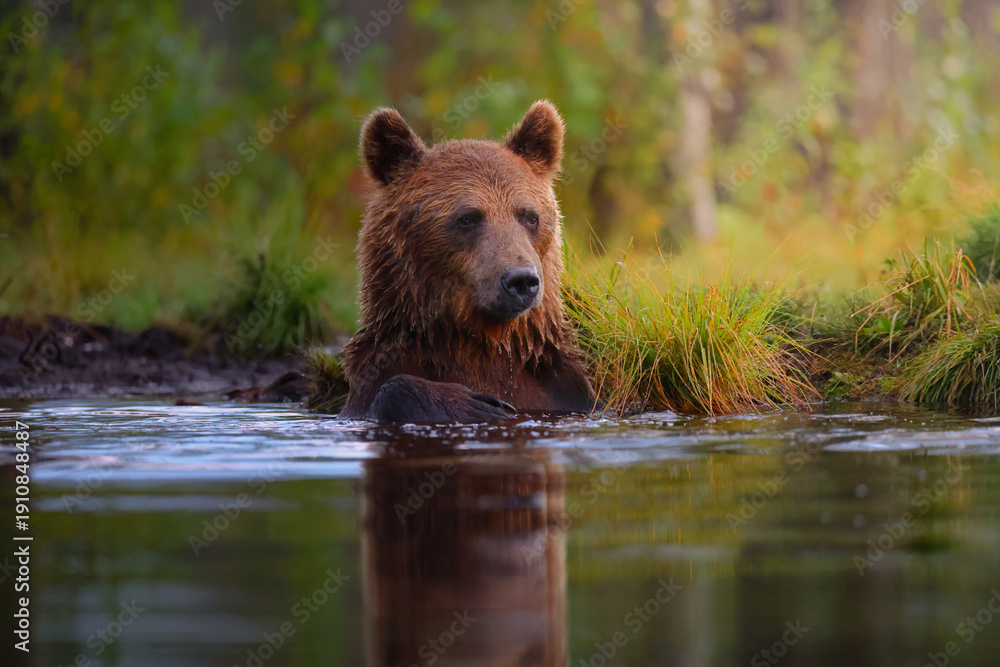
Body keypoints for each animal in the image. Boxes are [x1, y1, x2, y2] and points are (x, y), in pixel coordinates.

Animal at [338, 100, 596, 422]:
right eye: (467, 218)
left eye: (530, 216)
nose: (521, 280)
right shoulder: (374, 378)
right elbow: (391, 386)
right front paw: (478, 403)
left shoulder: (560, 387)